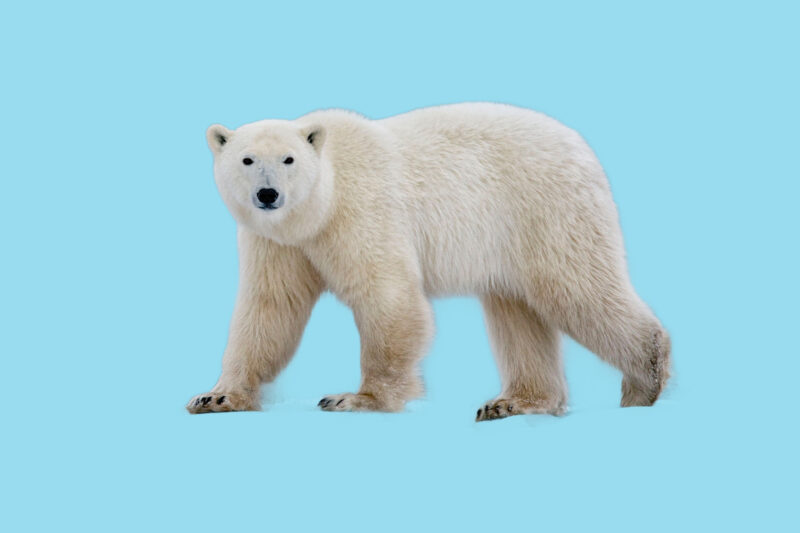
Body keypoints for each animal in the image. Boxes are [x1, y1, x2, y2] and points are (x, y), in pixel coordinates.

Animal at [186, 102, 671, 421]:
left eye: (288, 159)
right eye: (247, 159)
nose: (268, 194)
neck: (318, 208)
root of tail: (582, 146)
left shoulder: (361, 210)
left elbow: (387, 295)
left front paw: (356, 399)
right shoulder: (276, 242)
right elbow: (270, 308)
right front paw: (216, 397)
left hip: (546, 210)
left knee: (576, 287)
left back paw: (644, 380)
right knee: (517, 311)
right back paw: (512, 402)